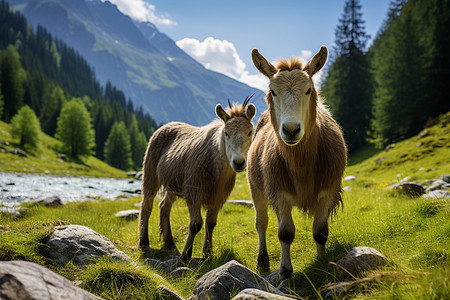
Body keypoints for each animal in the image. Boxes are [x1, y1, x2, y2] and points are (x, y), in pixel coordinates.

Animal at [139, 96, 255, 260]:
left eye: (250, 131)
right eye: (226, 132)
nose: (238, 162)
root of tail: (166, 125)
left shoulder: (218, 196)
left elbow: (211, 223)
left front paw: (208, 253)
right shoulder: (194, 191)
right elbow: (196, 224)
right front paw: (186, 255)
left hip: (173, 185)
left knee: (164, 206)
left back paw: (169, 242)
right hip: (150, 173)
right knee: (146, 205)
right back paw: (143, 242)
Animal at [248, 46, 346, 282]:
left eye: (309, 90)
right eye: (273, 91)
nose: (291, 130)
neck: (301, 163)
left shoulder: (327, 191)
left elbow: (320, 232)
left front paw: (321, 262)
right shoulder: (279, 193)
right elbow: (285, 233)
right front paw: (285, 271)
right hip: (255, 187)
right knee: (261, 222)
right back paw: (262, 261)